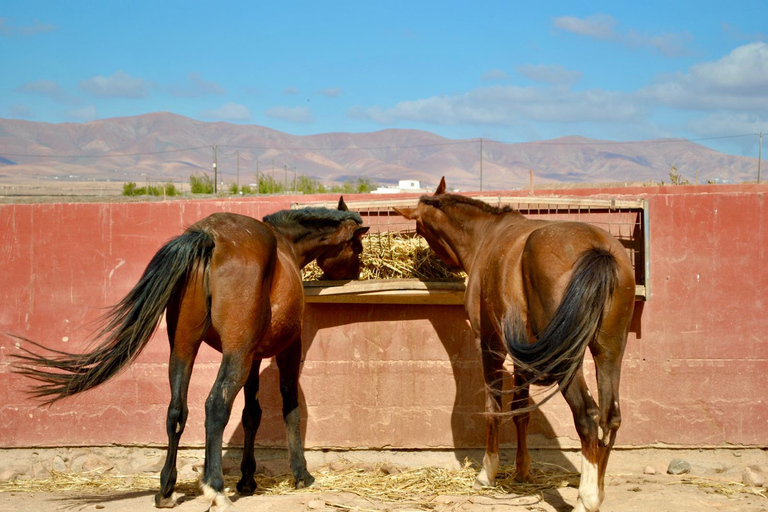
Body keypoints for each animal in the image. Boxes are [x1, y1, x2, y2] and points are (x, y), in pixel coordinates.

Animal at [13, 199, 368, 512]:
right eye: (358, 247)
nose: (358, 270)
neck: (285, 244)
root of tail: (209, 236)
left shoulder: (253, 356)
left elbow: (251, 414)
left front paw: (248, 480)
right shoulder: (286, 348)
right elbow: (289, 407)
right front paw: (301, 474)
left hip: (184, 348)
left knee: (176, 411)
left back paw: (166, 490)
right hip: (232, 354)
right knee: (215, 405)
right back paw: (216, 489)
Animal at [396, 179, 636, 512]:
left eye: (420, 228)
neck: (488, 234)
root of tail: (598, 249)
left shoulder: (489, 344)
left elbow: (494, 407)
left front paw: (487, 472)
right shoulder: (526, 354)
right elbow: (521, 411)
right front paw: (522, 471)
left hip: (567, 360)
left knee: (587, 415)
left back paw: (586, 499)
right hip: (609, 352)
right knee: (610, 416)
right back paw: (598, 490)